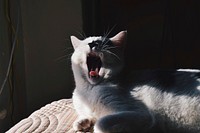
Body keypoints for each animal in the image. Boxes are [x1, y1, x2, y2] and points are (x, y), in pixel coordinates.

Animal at [70, 30, 200, 132]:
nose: (92, 43)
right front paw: (81, 122)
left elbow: (101, 122)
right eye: (86, 42)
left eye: (105, 43)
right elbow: (87, 115)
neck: (89, 89)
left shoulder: (141, 114)